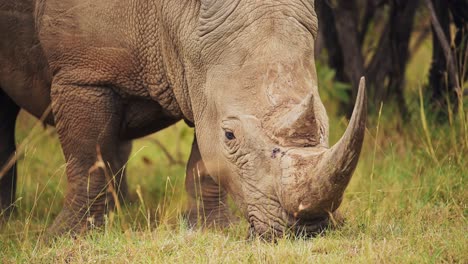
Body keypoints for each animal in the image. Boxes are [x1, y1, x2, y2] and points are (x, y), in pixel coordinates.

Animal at [0, 0, 366, 239]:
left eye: (325, 125)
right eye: (231, 136)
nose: (309, 228)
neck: (179, 16)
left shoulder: (202, 74)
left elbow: (204, 160)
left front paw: (210, 229)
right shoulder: (84, 73)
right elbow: (87, 158)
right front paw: (69, 237)